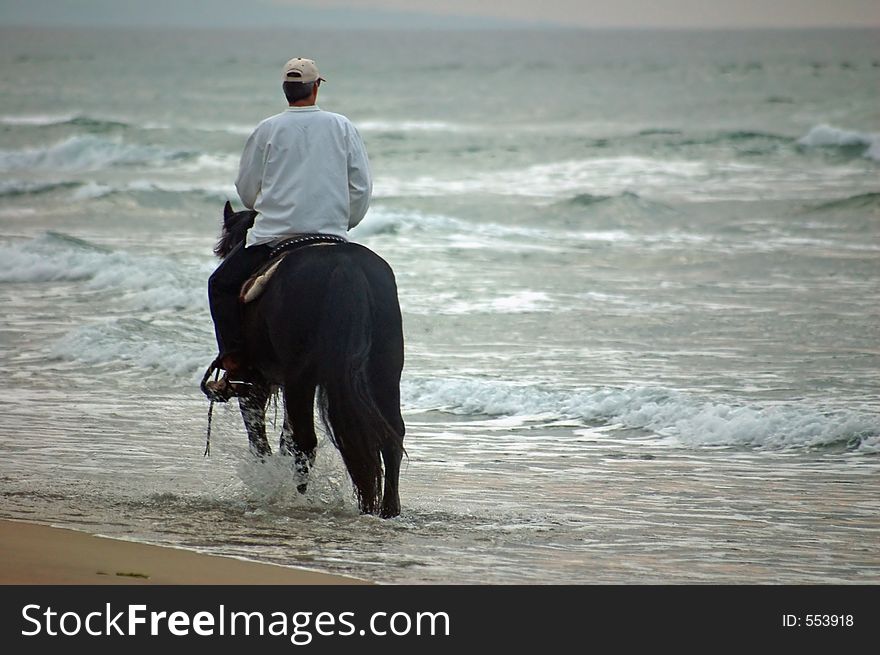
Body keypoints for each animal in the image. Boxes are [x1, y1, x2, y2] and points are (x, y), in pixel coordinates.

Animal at [213, 202, 406, 520]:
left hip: (298, 378)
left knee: (306, 442)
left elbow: (259, 438)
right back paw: (388, 510)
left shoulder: (258, 382)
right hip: (385, 372)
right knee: (392, 435)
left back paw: (296, 498)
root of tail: (344, 267)